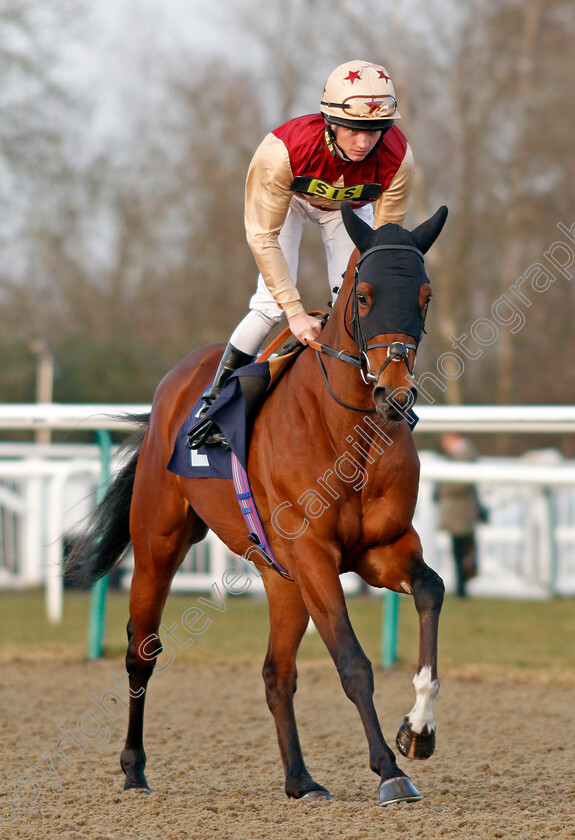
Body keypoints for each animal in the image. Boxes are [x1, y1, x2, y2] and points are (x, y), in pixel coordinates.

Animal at [70, 202, 450, 808]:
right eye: (365, 295)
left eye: (425, 296)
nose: (395, 395)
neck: (348, 432)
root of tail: (173, 390)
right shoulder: (316, 555)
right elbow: (352, 661)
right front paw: (389, 770)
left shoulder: (382, 548)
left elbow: (431, 591)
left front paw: (418, 730)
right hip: (159, 544)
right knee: (141, 652)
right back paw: (133, 769)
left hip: (281, 577)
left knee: (277, 672)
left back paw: (301, 780)